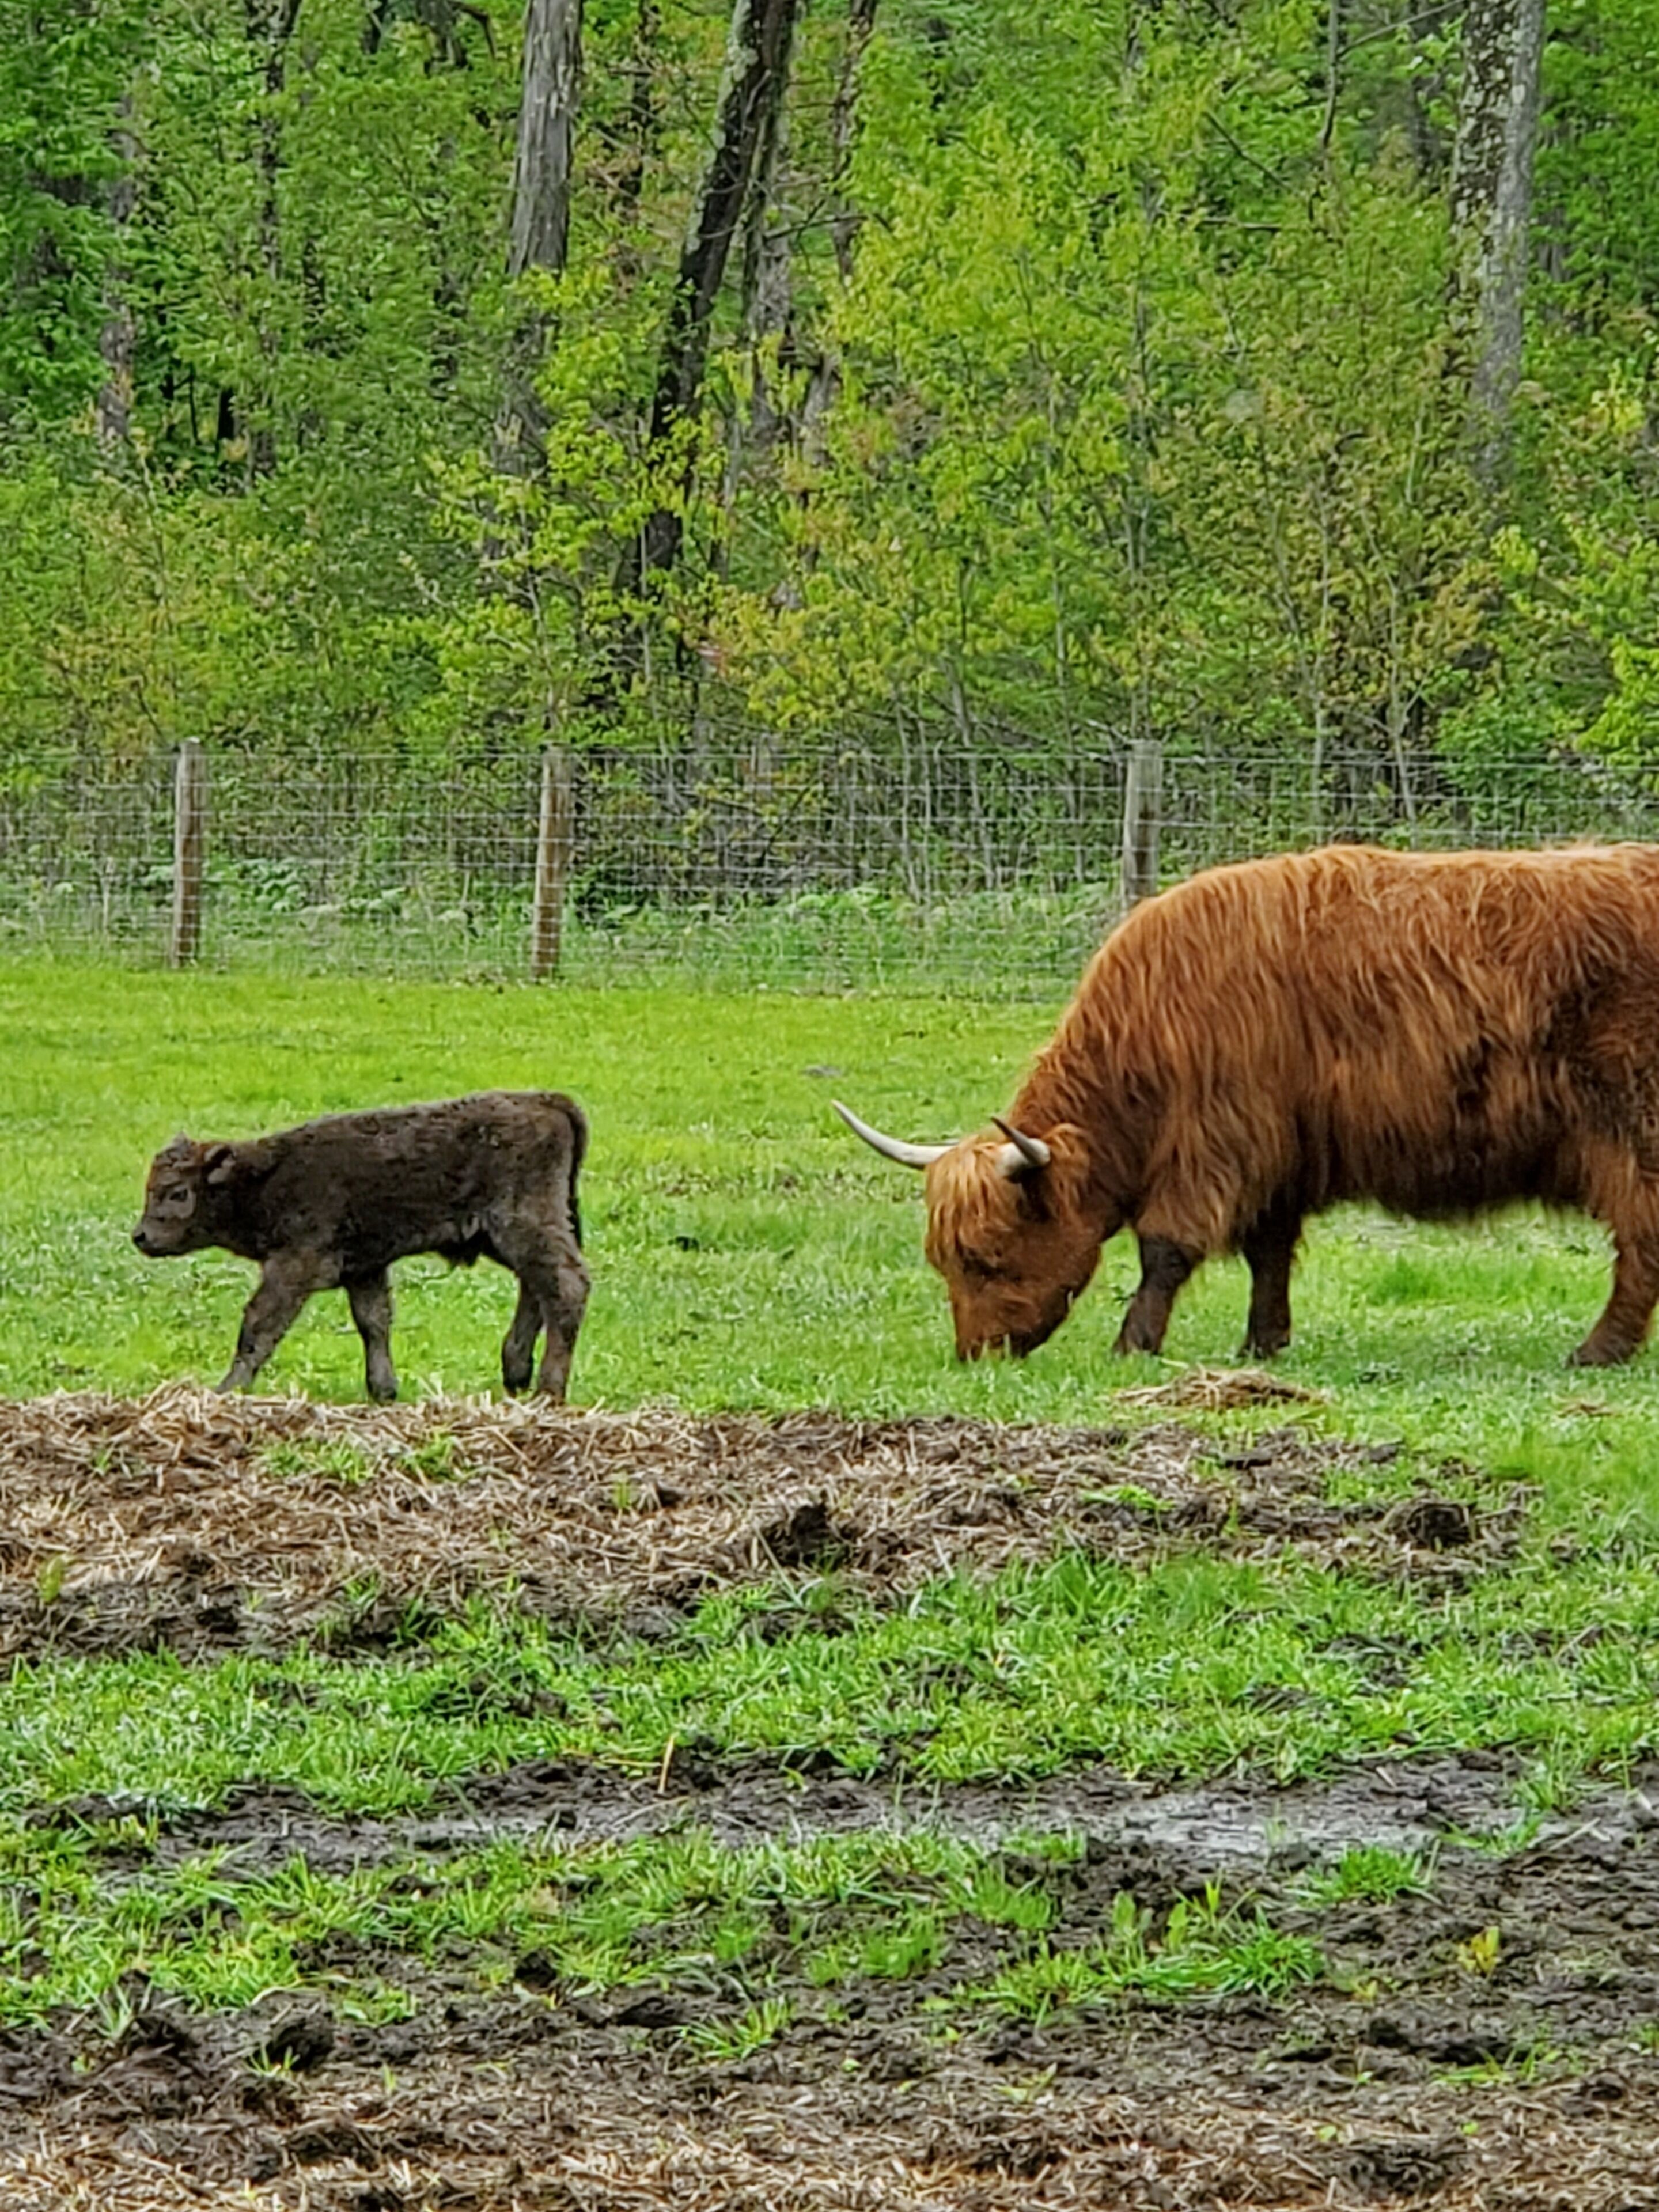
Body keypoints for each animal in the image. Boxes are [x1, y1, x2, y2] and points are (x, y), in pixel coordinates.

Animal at [133, 1091, 589, 1401]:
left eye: (177, 1192)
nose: (141, 1236)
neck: (265, 1175)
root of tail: (546, 1101)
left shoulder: (294, 1264)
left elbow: (260, 1324)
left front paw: (227, 1388)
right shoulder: (365, 1268)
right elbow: (373, 1322)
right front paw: (384, 1390)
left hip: (522, 1226)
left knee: (566, 1287)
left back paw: (548, 1391)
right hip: (508, 1236)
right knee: (538, 1289)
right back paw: (516, 1373)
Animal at [836, 843, 1659, 1369]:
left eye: (983, 1256)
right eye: (941, 1259)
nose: (976, 1355)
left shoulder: (1217, 1139)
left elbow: (1166, 1249)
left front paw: (1133, 1344)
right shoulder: (1278, 1153)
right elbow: (1269, 1252)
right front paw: (1263, 1343)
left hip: (1632, 1127)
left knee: (1641, 1235)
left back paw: (1597, 1351)